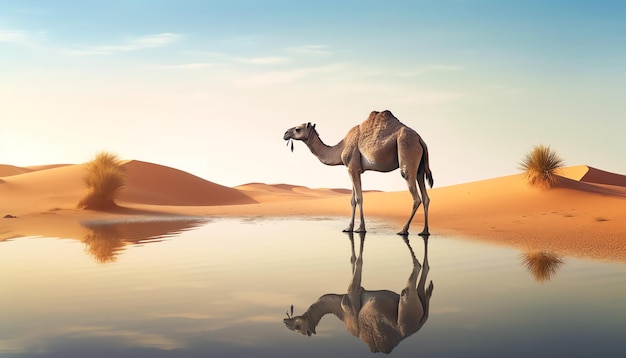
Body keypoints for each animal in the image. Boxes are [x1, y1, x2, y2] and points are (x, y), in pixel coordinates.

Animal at [282, 110, 432, 236]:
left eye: (297, 129)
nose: (285, 133)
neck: (340, 147)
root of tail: (421, 140)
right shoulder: (353, 169)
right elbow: (352, 200)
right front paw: (349, 228)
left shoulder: (352, 167)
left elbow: (359, 198)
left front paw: (361, 228)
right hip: (420, 168)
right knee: (425, 197)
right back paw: (424, 231)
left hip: (407, 150)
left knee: (415, 196)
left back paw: (404, 230)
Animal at [282, 232, 432, 352]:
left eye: (297, 327)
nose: (285, 322)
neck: (339, 307)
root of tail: (419, 324)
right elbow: (354, 261)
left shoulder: (352, 299)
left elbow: (358, 261)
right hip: (419, 304)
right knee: (423, 281)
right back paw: (429, 288)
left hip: (406, 310)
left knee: (413, 277)